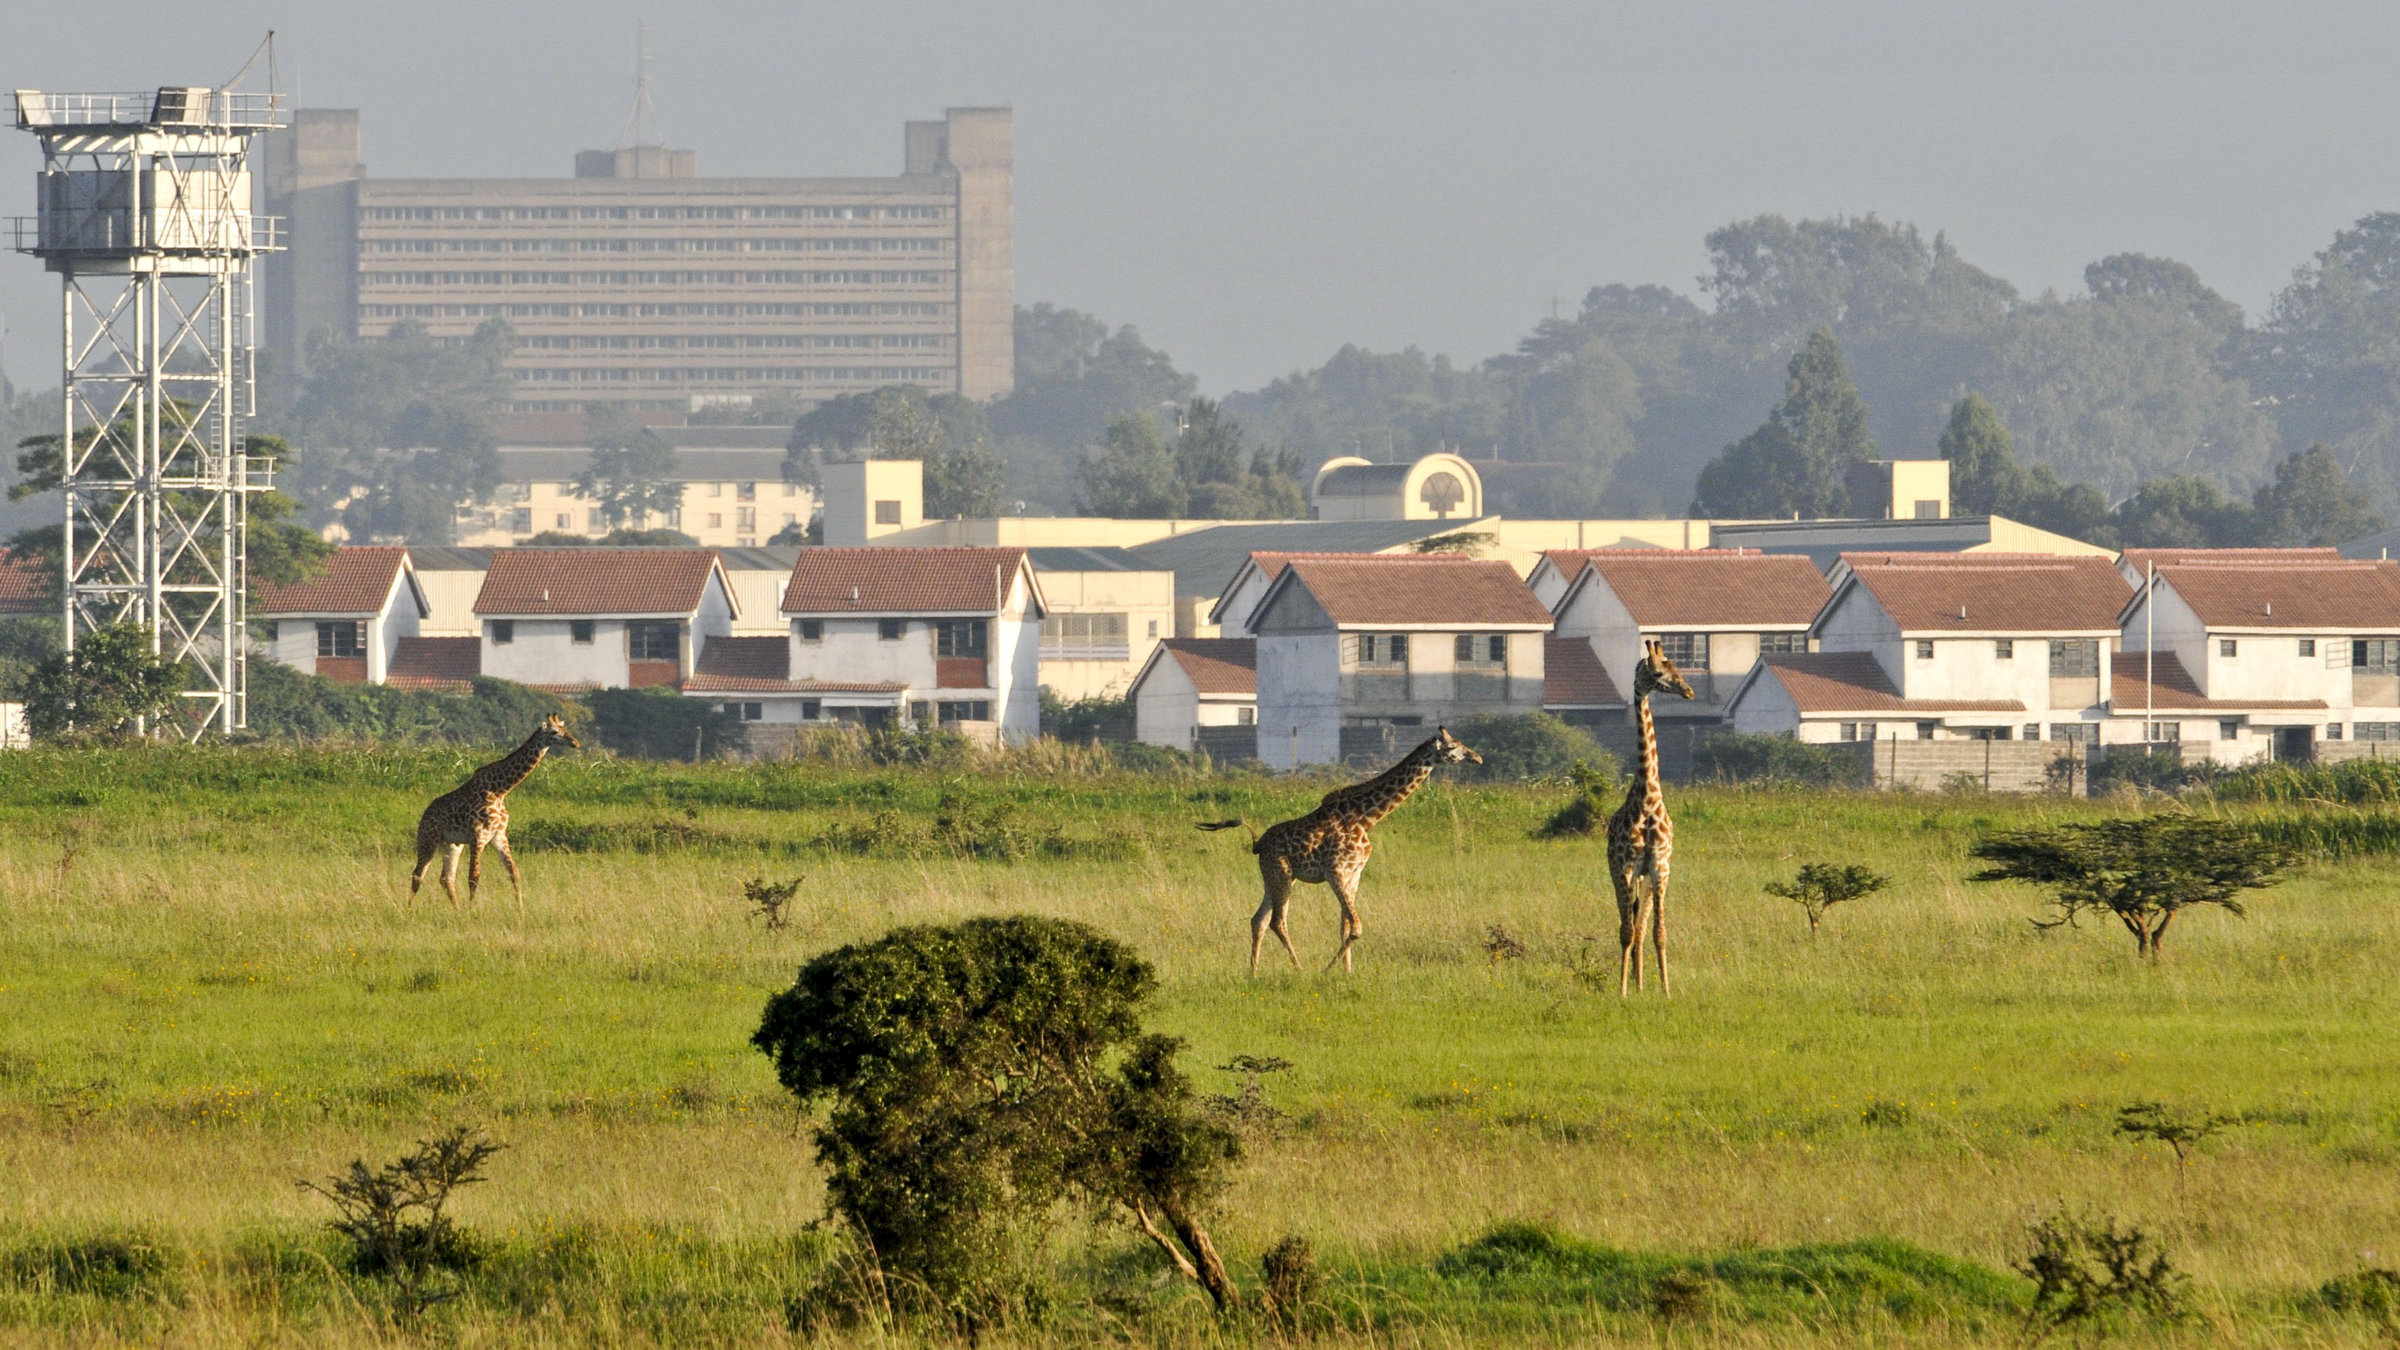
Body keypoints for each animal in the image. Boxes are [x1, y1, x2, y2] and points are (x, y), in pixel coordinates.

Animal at [410, 714, 581, 908]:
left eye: (566, 730)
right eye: (554, 732)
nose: (575, 743)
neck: (500, 790)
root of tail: (425, 815)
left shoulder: (498, 835)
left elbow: (514, 873)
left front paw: (520, 908)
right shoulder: (478, 836)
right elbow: (474, 877)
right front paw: (473, 909)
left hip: (452, 845)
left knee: (446, 878)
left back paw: (457, 909)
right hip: (427, 840)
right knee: (418, 874)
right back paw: (409, 908)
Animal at [1199, 726, 1482, 975]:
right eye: (1453, 747)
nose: (1477, 757)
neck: (1366, 818)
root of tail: (1257, 844)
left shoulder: (1354, 873)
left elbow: (1345, 926)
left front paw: (1347, 972)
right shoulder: (1335, 870)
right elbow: (1356, 927)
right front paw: (1328, 970)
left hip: (1274, 878)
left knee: (1258, 920)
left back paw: (1253, 973)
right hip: (1282, 874)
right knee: (1277, 921)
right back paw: (1300, 969)